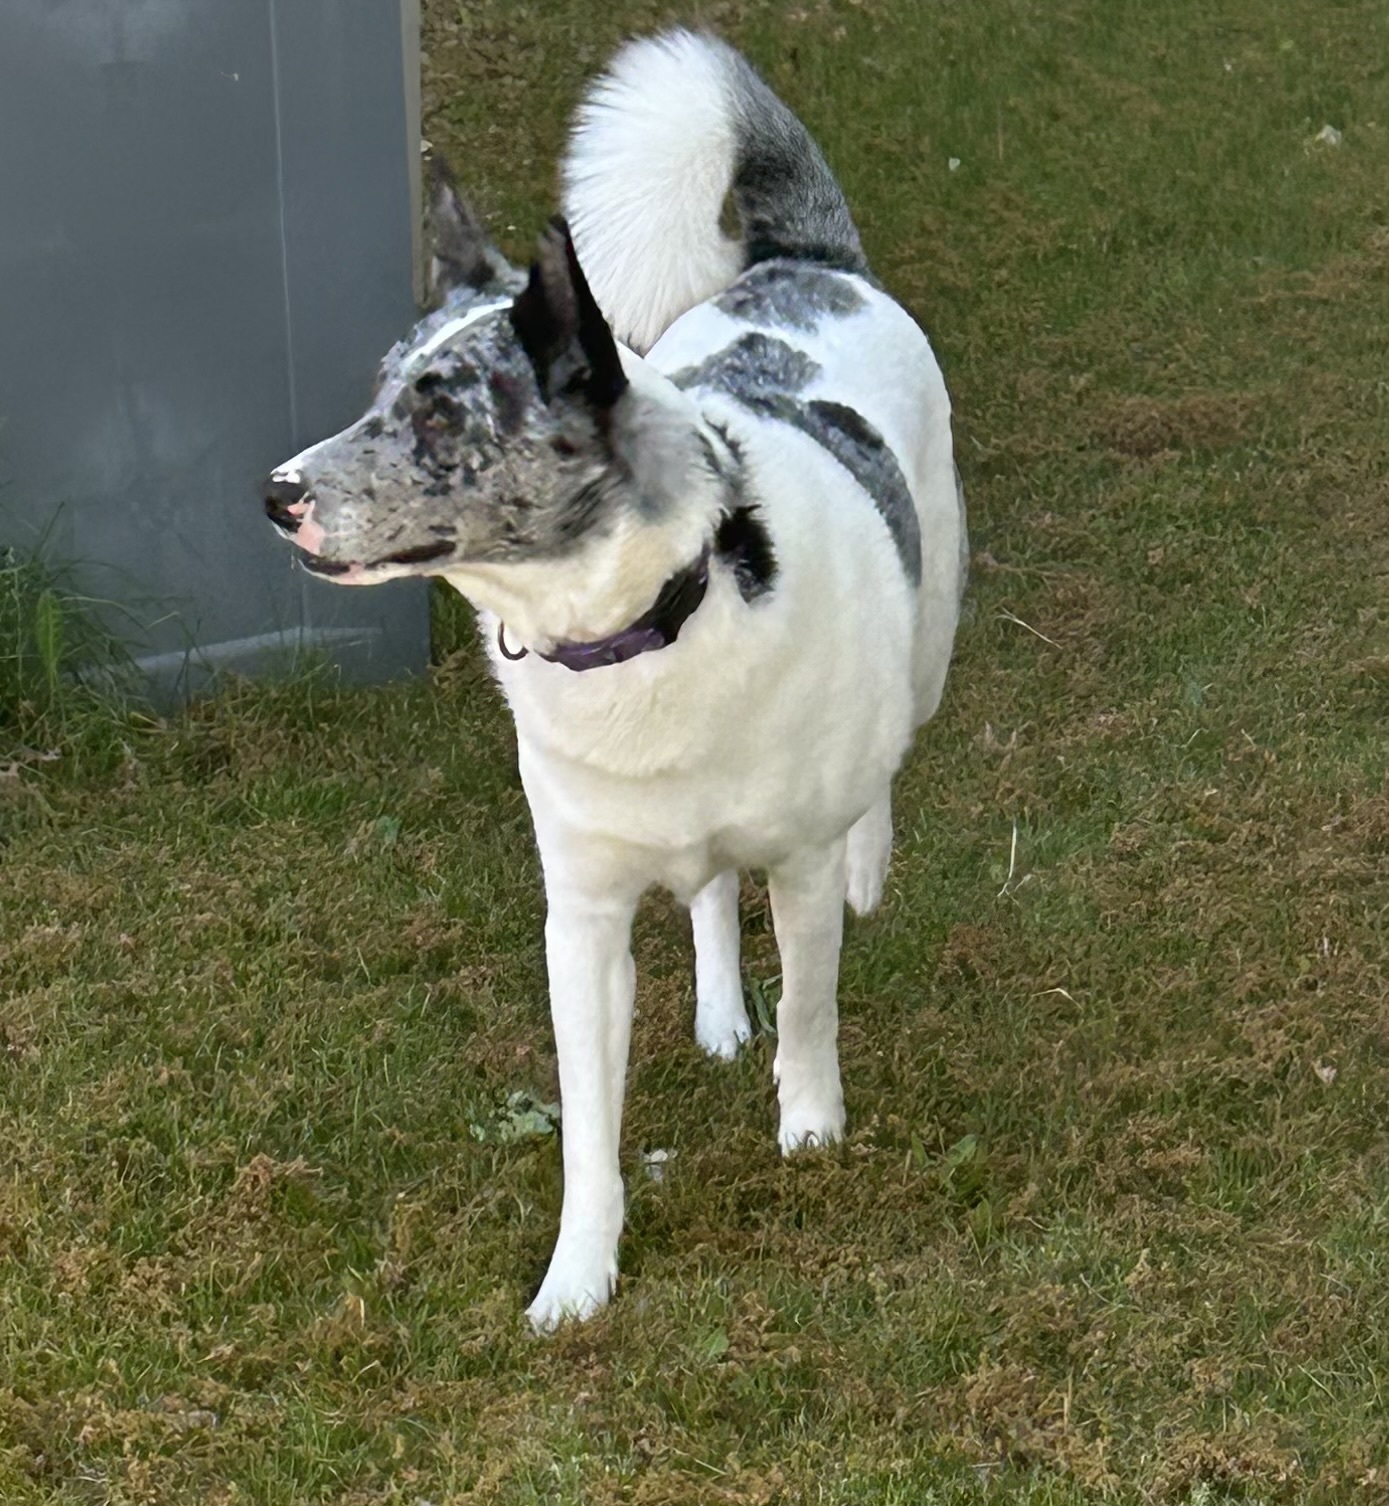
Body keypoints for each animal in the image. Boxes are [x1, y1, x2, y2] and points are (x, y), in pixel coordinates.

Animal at [268, 32, 964, 1331]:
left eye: (440, 418)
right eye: (380, 392)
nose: (274, 494)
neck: (643, 629)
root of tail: (803, 263)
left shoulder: (792, 863)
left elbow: (812, 1008)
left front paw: (811, 1129)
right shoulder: (580, 921)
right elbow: (588, 1127)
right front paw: (579, 1276)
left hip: (933, 631)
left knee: (887, 754)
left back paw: (870, 863)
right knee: (705, 895)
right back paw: (718, 1006)